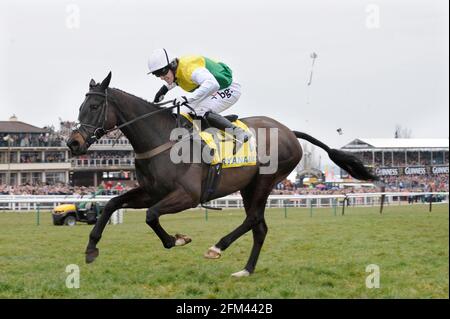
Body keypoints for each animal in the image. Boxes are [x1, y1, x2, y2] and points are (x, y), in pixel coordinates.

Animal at [67, 73, 376, 278]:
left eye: (94, 107)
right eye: (80, 107)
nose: (73, 143)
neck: (162, 139)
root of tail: (289, 131)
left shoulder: (187, 196)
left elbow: (151, 216)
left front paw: (176, 239)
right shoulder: (151, 191)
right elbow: (111, 204)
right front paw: (91, 248)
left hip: (264, 181)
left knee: (253, 219)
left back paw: (217, 247)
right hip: (249, 186)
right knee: (260, 227)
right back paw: (246, 270)